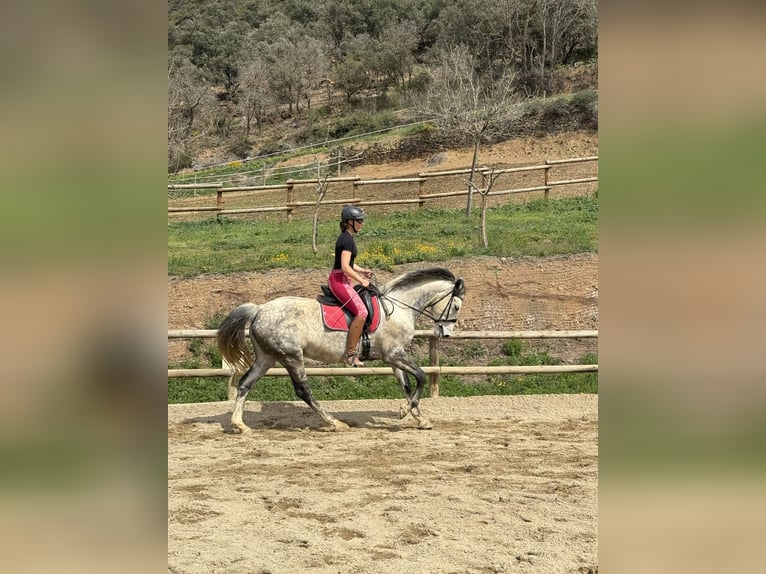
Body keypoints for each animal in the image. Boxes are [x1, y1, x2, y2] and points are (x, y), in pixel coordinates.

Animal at [218, 268, 468, 434]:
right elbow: (421, 376)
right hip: (291, 356)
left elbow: (406, 385)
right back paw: (334, 423)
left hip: (267, 357)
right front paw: (405, 411)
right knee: (303, 391)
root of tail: (259, 310)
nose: (445, 334)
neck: (398, 307)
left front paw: (418, 417)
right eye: (456, 306)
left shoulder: (392, 357)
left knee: (245, 383)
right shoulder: (394, 354)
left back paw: (239, 425)